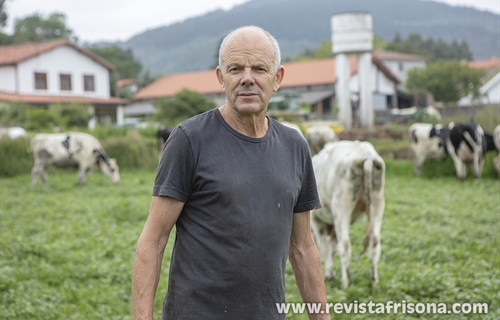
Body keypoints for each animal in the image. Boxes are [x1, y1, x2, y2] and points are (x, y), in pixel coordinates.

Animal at [310, 141, 384, 288]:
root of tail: (366, 154)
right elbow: (331, 247)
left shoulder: (315, 220)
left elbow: (325, 247)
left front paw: (328, 274)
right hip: (377, 204)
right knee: (374, 243)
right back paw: (374, 281)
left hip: (341, 208)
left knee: (344, 245)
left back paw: (345, 283)